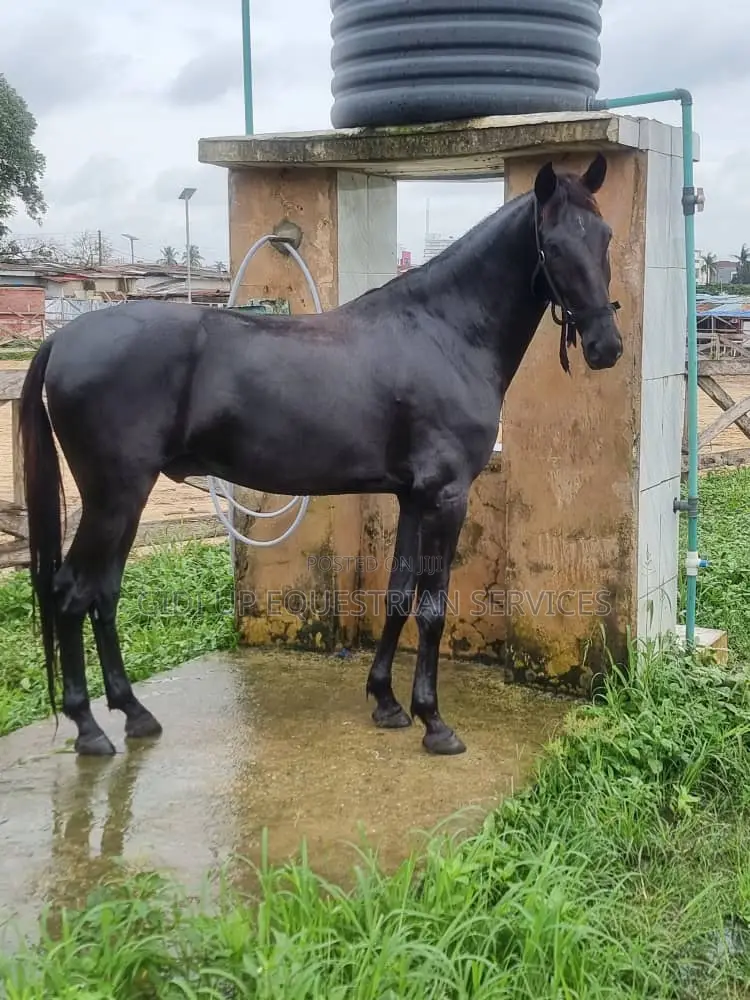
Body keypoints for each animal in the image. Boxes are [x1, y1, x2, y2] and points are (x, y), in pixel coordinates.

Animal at [19, 153, 623, 759]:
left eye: (605, 236)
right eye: (554, 245)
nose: (606, 347)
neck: (444, 333)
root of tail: (63, 339)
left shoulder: (412, 497)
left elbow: (398, 596)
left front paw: (386, 701)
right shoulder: (446, 496)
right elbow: (431, 609)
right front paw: (433, 721)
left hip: (125, 500)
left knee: (103, 594)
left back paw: (134, 713)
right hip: (114, 498)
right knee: (73, 594)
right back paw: (90, 728)